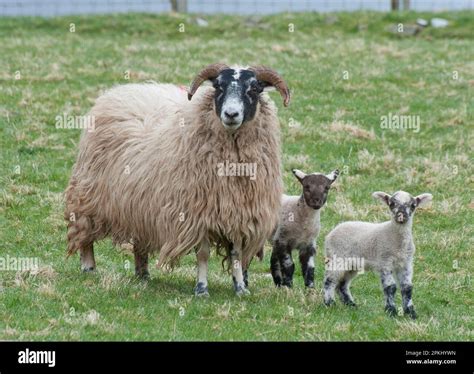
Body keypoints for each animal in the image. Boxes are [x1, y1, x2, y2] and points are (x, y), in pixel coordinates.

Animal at [65, 62, 290, 296]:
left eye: (254, 89)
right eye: (218, 87)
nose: (231, 114)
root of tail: (121, 90)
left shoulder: (239, 213)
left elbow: (236, 254)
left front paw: (240, 288)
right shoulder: (197, 213)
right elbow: (203, 254)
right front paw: (201, 289)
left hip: (140, 204)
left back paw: (142, 273)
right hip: (90, 194)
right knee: (85, 233)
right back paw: (89, 267)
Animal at [324, 190, 432, 318]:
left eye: (413, 205)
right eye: (391, 204)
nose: (401, 215)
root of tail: (332, 231)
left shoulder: (406, 263)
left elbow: (407, 287)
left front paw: (411, 313)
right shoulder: (385, 261)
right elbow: (390, 287)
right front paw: (391, 311)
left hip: (352, 265)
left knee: (342, 284)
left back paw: (351, 305)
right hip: (337, 258)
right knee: (330, 281)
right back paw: (329, 303)